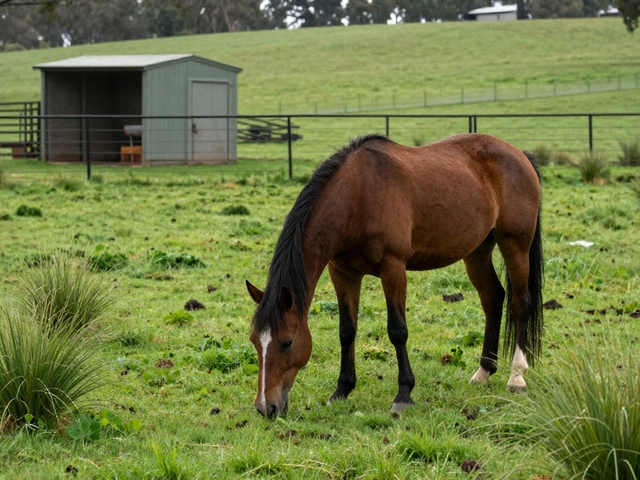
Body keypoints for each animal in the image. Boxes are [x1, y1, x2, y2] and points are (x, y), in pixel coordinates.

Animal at [246, 133, 543, 418]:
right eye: (254, 341)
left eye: (286, 342)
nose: (266, 407)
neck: (358, 196)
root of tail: (519, 154)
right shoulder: (342, 272)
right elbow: (347, 330)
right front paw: (342, 390)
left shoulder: (393, 268)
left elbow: (397, 330)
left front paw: (403, 395)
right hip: (477, 251)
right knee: (493, 299)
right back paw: (483, 372)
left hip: (515, 244)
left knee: (520, 304)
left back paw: (517, 376)